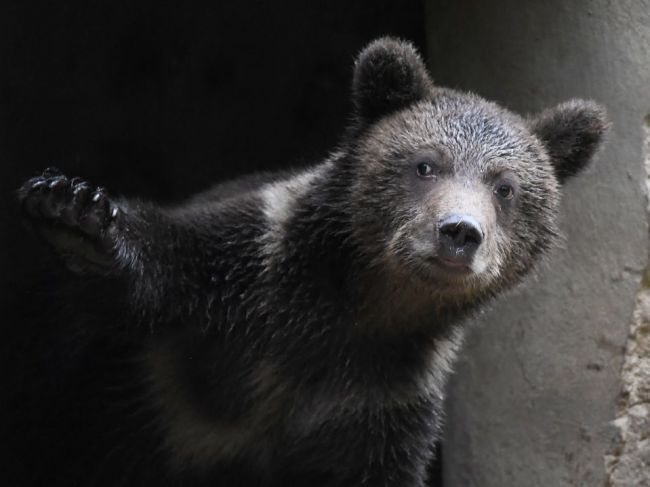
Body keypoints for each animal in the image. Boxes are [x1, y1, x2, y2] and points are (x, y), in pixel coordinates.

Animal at [13, 36, 604, 486]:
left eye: (504, 188)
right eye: (425, 164)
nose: (459, 232)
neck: (358, 309)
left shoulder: (379, 400)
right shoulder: (246, 268)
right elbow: (165, 257)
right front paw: (73, 210)